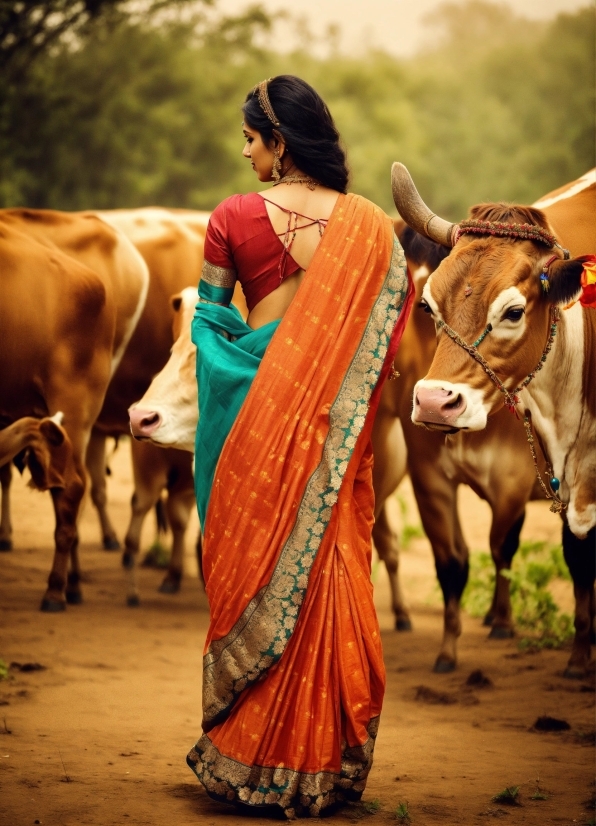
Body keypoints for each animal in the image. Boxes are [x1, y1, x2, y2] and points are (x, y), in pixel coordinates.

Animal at [392, 163, 596, 676]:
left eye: (514, 311)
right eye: (428, 305)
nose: (433, 401)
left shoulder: (518, 480)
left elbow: (520, 547)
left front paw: (577, 656)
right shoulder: (429, 477)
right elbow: (453, 563)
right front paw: (448, 651)